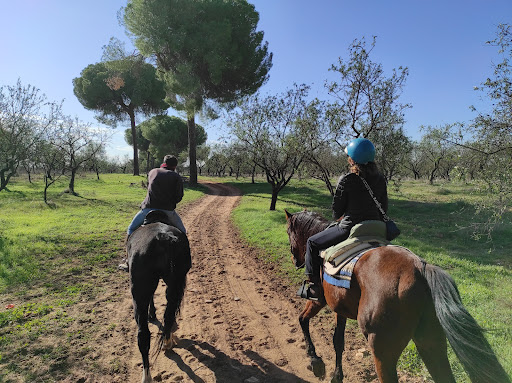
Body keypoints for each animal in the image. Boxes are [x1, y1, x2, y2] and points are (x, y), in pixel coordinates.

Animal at [127, 212, 191, 382]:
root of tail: (164, 238)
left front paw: (152, 314)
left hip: (139, 292)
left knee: (143, 335)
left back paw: (146, 376)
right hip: (175, 282)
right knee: (169, 316)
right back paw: (167, 342)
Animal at [284, 210, 508, 383]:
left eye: (288, 232)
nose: (295, 260)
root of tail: (420, 268)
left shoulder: (319, 300)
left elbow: (302, 319)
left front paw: (315, 362)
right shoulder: (340, 308)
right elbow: (338, 341)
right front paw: (336, 376)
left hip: (383, 350)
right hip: (431, 341)